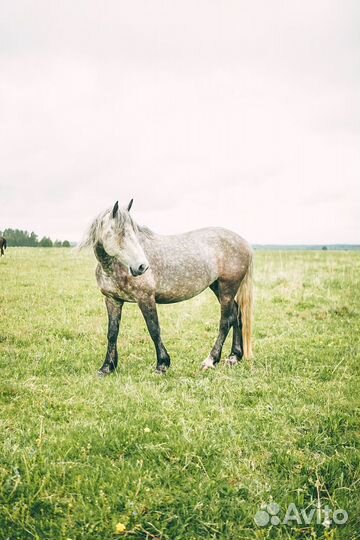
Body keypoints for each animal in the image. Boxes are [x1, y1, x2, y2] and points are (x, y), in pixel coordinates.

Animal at [79, 201, 253, 376]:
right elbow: (112, 333)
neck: (114, 267)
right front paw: (107, 367)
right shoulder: (113, 300)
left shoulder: (145, 298)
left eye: (134, 233)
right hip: (218, 287)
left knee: (225, 321)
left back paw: (211, 360)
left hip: (227, 288)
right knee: (236, 315)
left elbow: (154, 329)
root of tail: (244, 242)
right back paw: (234, 357)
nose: (142, 267)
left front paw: (162, 365)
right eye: (120, 233)